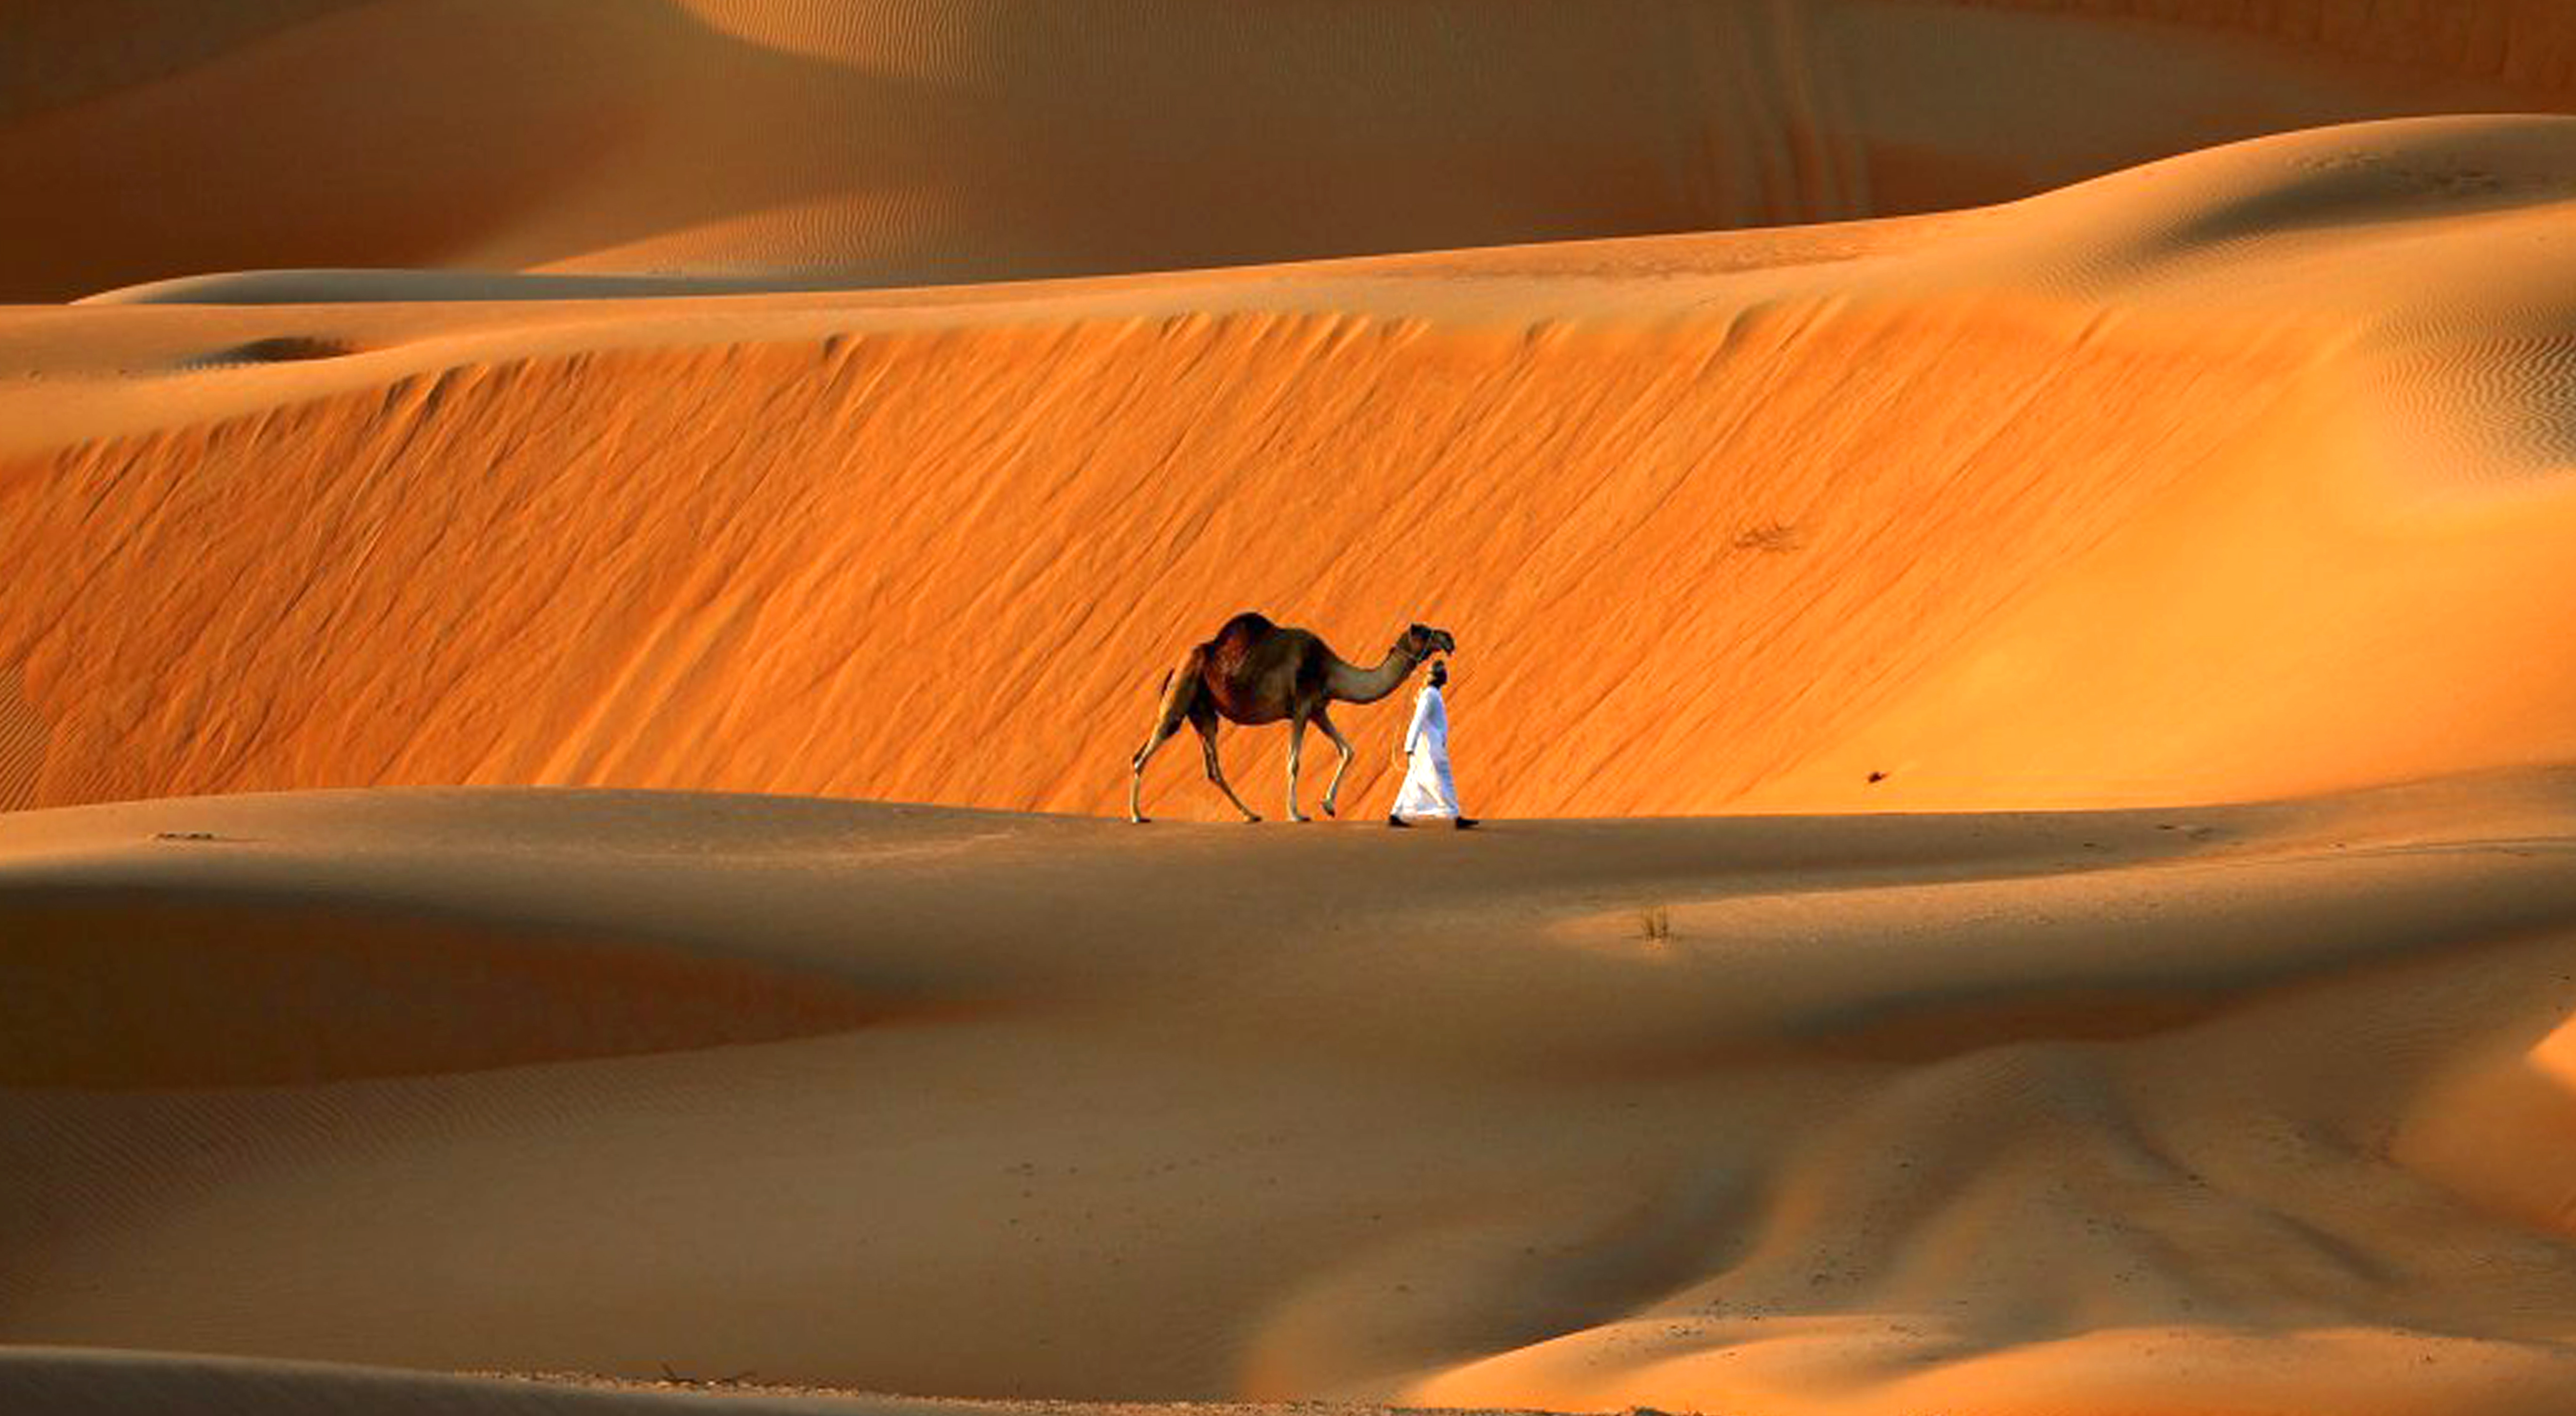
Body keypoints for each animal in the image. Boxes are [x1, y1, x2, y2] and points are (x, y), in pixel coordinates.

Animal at [1138, 615, 1463, 829]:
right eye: (1425, 631)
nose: (1449, 638)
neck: (1330, 670)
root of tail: (1174, 667)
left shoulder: (1318, 709)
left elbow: (1348, 750)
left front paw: (1328, 805)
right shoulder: (1301, 707)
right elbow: (1294, 762)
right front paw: (1296, 814)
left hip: (1204, 711)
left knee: (1212, 768)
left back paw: (1251, 814)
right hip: (1183, 690)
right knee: (1145, 752)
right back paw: (1137, 814)